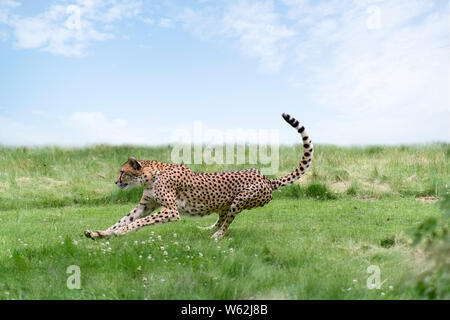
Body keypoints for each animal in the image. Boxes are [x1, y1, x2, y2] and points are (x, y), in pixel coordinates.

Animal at [84, 113, 312, 240]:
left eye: (122, 171)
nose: (116, 181)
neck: (153, 175)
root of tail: (265, 177)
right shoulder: (145, 206)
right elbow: (122, 220)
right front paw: (100, 233)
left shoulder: (171, 211)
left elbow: (138, 222)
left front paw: (121, 232)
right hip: (226, 203)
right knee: (221, 218)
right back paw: (208, 228)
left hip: (240, 200)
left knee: (227, 223)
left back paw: (217, 236)